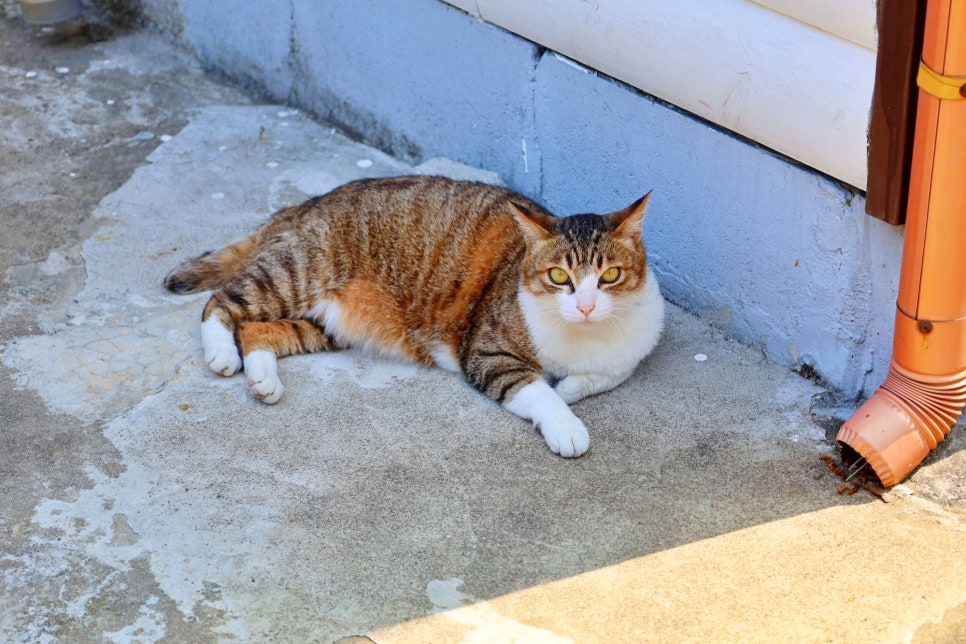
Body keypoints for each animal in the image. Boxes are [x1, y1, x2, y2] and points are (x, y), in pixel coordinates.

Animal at [164, 175, 664, 458]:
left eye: (611, 276)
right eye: (559, 276)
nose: (585, 306)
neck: (582, 339)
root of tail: (301, 206)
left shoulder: (631, 349)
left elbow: (608, 374)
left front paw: (571, 387)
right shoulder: (487, 353)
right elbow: (538, 391)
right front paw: (566, 423)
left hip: (327, 322)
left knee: (258, 330)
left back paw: (263, 379)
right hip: (294, 275)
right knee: (222, 304)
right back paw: (221, 354)